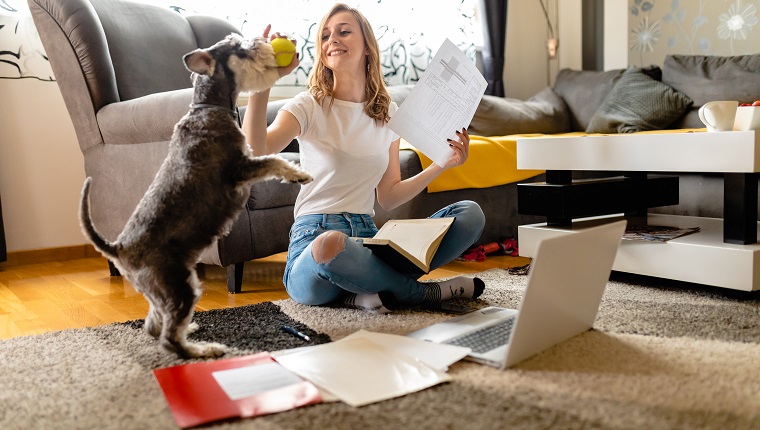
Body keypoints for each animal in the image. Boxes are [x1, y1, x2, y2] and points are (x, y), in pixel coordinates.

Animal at [79, 33, 312, 358]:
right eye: (239, 48)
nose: (263, 42)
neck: (208, 107)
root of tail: (120, 248)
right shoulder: (240, 169)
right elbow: (274, 161)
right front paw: (299, 174)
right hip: (179, 286)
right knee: (168, 337)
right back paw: (203, 350)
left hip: (161, 290)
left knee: (154, 324)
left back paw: (190, 332)